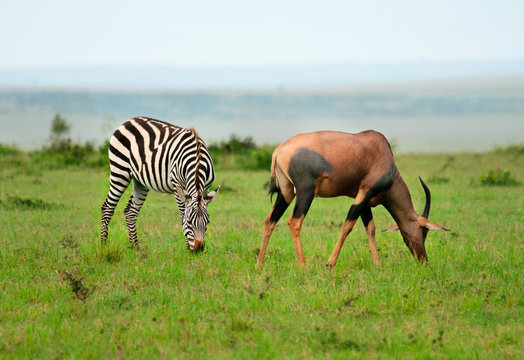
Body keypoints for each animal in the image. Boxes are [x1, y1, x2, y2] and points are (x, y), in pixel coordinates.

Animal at [100, 116, 219, 252]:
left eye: (207, 222)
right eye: (189, 222)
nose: (198, 249)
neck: (197, 160)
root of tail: (129, 121)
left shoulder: (205, 189)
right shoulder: (177, 185)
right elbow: (182, 215)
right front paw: (187, 247)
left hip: (140, 181)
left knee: (131, 212)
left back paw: (136, 248)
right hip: (120, 170)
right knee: (107, 207)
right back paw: (103, 246)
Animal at [256, 131, 448, 268]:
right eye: (424, 231)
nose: (424, 260)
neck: (382, 150)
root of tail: (279, 151)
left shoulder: (364, 200)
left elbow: (370, 228)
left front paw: (378, 265)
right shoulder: (365, 192)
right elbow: (348, 225)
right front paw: (330, 263)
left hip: (287, 192)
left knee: (270, 220)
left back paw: (259, 263)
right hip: (305, 192)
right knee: (294, 222)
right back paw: (303, 266)